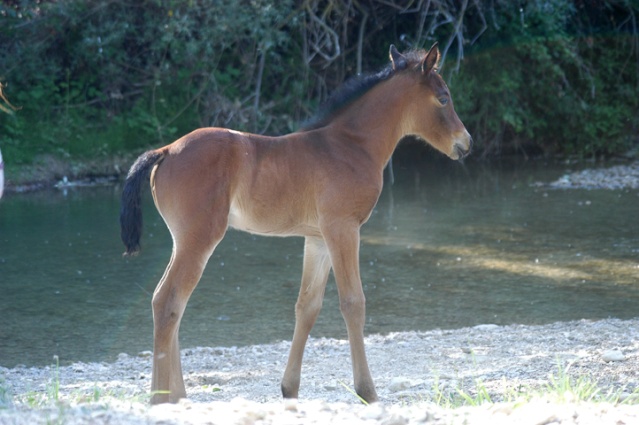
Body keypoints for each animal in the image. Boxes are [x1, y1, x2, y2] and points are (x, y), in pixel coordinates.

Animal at [120, 43, 472, 404]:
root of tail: (166, 150)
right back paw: (162, 398)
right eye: (443, 98)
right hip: (199, 238)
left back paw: (176, 396)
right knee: (168, 301)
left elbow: (307, 307)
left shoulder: (318, 238)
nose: (466, 143)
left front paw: (289, 389)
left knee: (170, 303)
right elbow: (353, 302)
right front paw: (367, 392)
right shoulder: (344, 228)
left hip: (183, 241)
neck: (351, 145)